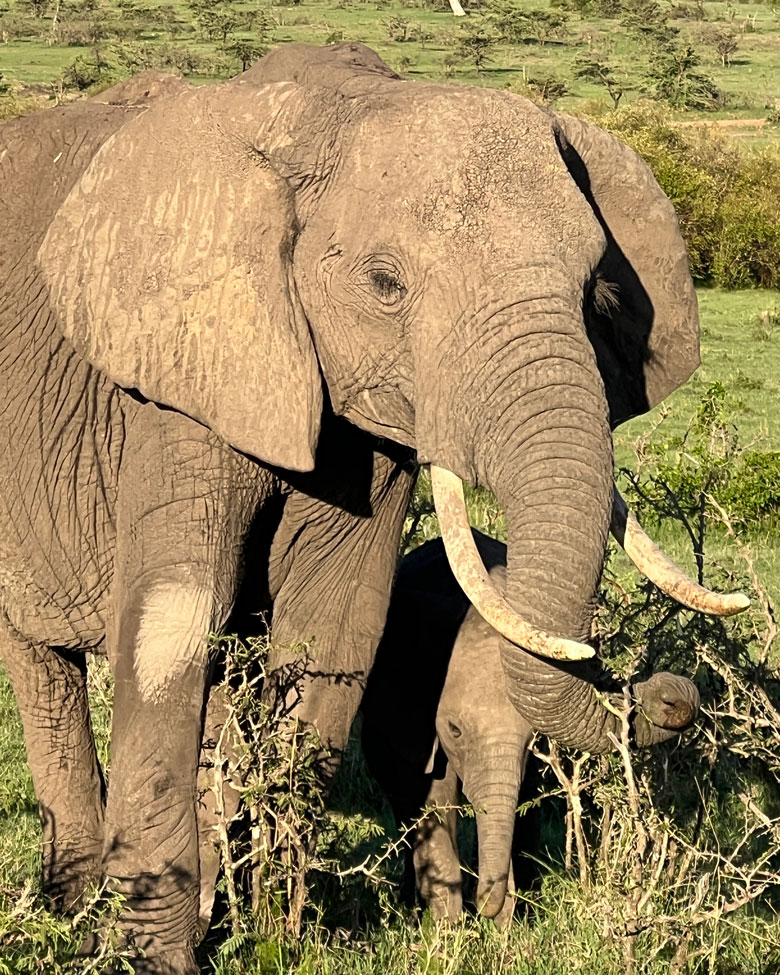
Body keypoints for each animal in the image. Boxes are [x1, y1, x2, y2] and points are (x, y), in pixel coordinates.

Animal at [362, 528, 696, 928]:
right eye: (455, 731)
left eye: (534, 739)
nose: (674, 695)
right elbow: (434, 801)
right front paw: (449, 933)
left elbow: (517, 806)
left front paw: (504, 929)